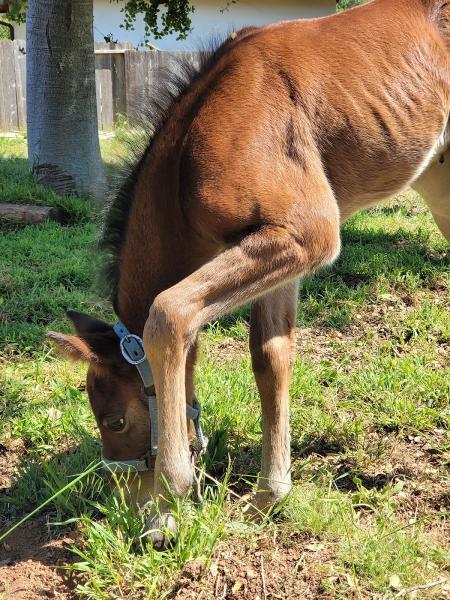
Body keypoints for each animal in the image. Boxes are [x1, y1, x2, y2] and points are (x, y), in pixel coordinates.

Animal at [50, 0, 450, 548]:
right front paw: (269, 496)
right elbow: (270, 358)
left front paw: (169, 502)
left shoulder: (308, 234)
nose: (132, 505)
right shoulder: (281, 256)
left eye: (114, 421)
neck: (190, 158)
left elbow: (168, 315)